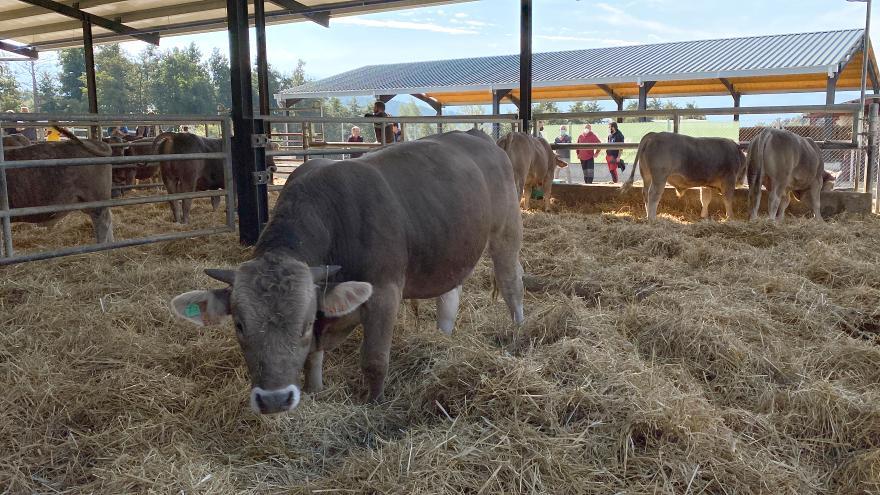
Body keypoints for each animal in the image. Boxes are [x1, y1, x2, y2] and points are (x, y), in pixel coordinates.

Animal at [170, 131, 524, 414]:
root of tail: (475, 135)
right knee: (449, 297)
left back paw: (518, 335)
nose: (274, 400)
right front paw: (314, 391)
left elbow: (374, 360)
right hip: (450, 247)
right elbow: (313, 357)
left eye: (303, 324)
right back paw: (443, 339)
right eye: (239, 325)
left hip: (506, 230)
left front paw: (374, 403)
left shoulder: (384, 292)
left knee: (512, 284)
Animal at [620, 131, 748, 220]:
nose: (741, 182)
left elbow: (705, 199)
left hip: (646, 175)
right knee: (653, 195)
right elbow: (728, 199)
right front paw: (730, 217)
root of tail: (655, 134)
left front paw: (704, 216)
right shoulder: (729, 179)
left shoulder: (706, 183)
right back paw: (652, 218)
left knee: (645, 193)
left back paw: (648, 215)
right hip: (659, 177)